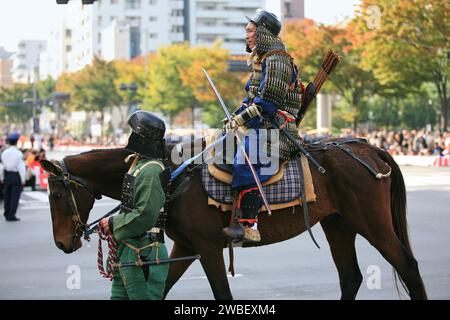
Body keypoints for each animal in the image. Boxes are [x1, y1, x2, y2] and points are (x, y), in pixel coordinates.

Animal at [41, 139, 426, 300]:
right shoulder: (187, 246)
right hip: (338, 224)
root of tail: (369, 148)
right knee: (350, 277)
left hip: (371, 222)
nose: (61, 243)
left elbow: (223, 294)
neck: (171, 176)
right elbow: (162, 289)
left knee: (407, 265)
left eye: (56, 195)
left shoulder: (208, 248)